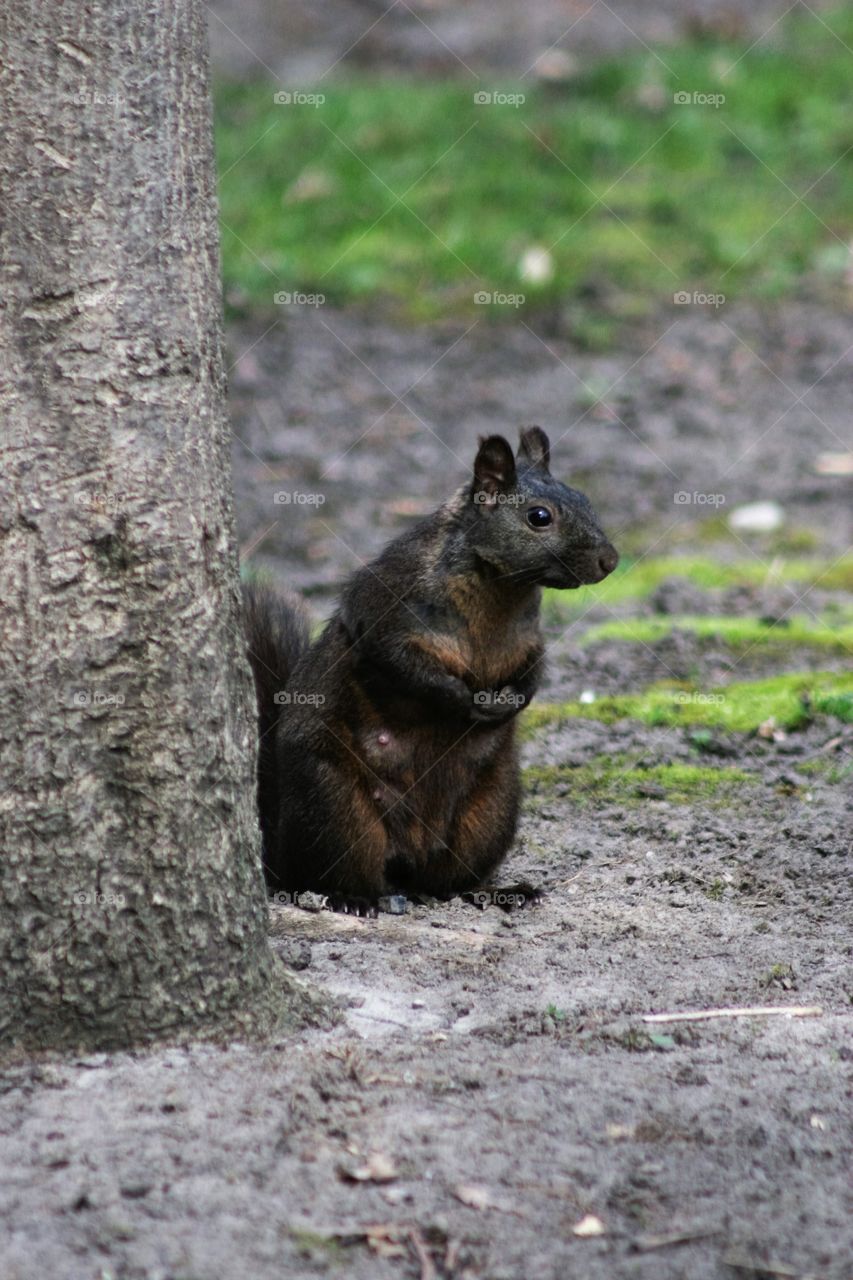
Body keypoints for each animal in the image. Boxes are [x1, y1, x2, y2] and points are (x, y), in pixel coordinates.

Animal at [242, 427, 614, 911]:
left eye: (586, 499)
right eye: (539, 517)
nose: (610, 561)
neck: (499, 589)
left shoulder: (530, 640)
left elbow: (533, 671)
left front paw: (513, 700)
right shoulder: (383, 612)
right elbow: (403, 664)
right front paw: (463, 699)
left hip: (490, 811)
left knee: (446, 883)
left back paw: (497, 891)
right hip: (335, 804)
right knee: (334, 872)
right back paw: (350, 897)